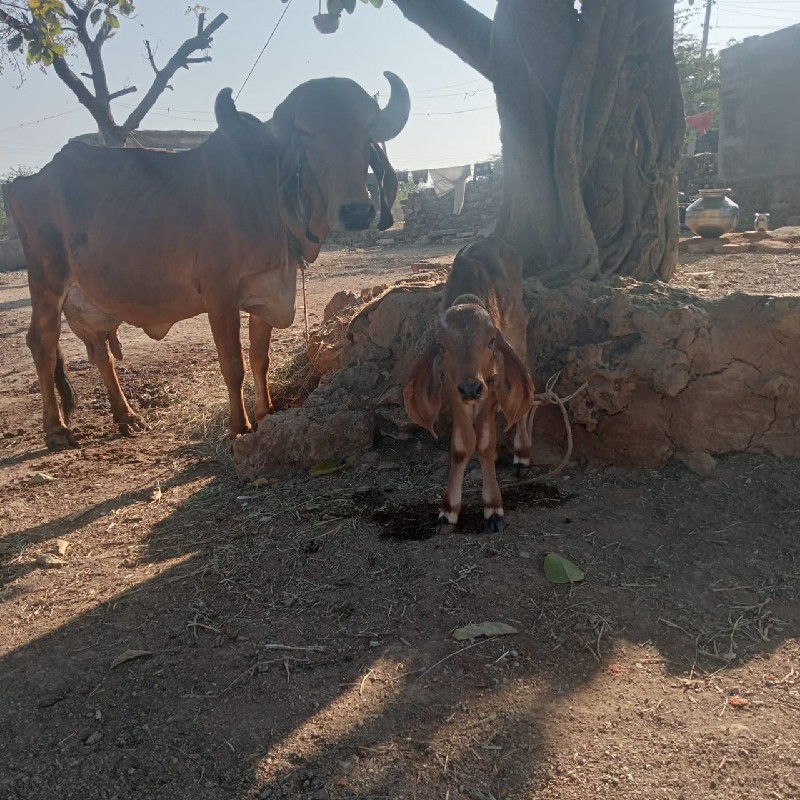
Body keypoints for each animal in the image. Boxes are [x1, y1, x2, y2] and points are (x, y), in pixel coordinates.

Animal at [4, 73, 406, 450]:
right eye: (307, 133)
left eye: (366, 130)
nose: (357, 211)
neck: (266, 191)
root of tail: (26, 183)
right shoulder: (219, 293)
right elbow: (234, 365)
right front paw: (240, 426)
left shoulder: (266, 288)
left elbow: (260, 358)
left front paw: (265, 412)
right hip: (46, 280)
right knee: (41, 343)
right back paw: (57, 430)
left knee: (99, 352)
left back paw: (126, 417)